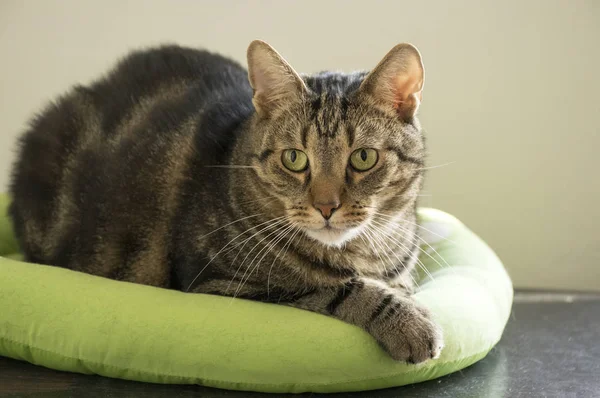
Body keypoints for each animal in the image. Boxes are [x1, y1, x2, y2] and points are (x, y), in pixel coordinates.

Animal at [7, 41, 442, 364]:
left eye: (363, 158)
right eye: (294, 158)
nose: (326, 206)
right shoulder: (225, 285)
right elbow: (334, 289)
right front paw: (410, 324)